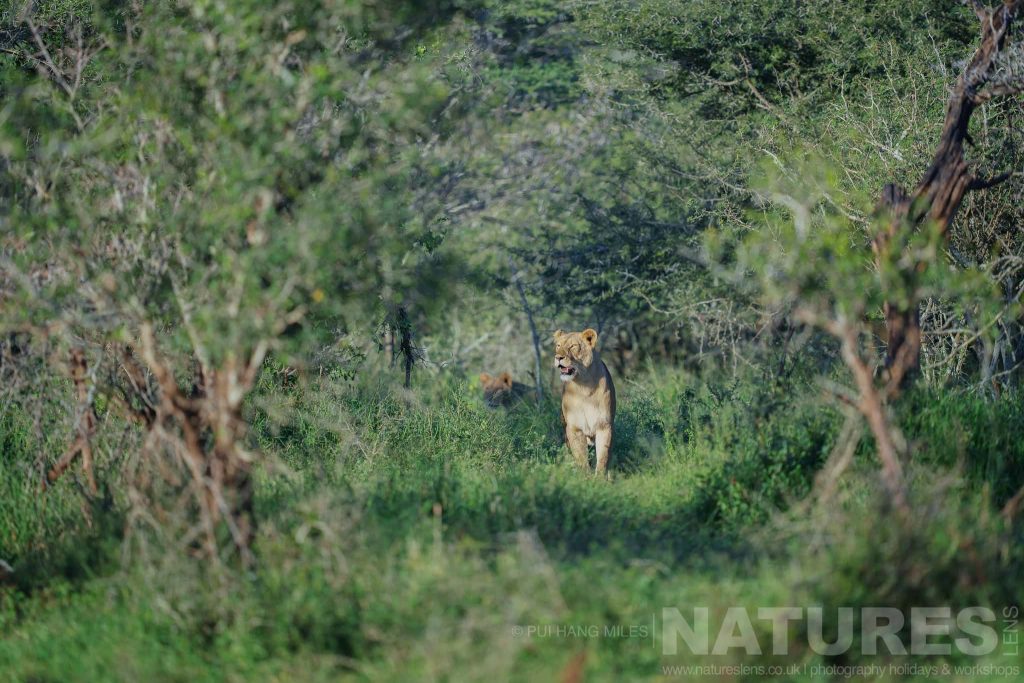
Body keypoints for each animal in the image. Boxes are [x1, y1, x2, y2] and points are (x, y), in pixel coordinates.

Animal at [554, 328, 616, 473]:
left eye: (572, 346)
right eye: (558, 346)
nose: (558, 357)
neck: (583, 386)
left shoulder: (604, 425)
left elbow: (603, 456)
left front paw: (600, 477)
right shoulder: (574, 428)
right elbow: (581, 457)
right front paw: (585, 476)